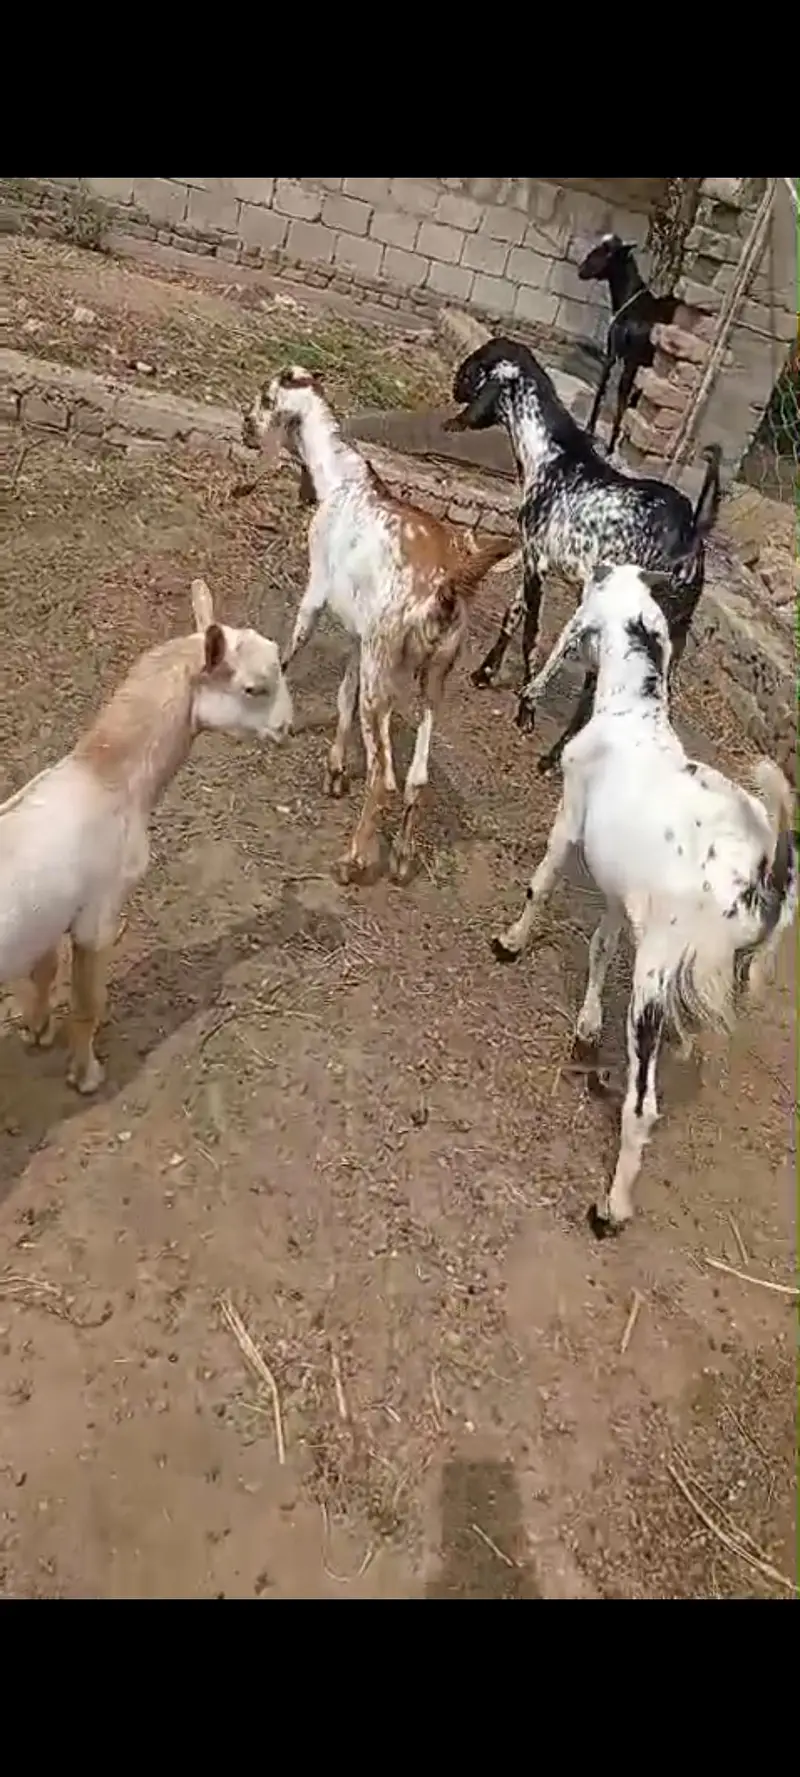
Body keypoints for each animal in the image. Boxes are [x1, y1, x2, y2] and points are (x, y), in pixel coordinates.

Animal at [0, 580, 292, 1094]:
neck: (108, 779)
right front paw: (86, 1075)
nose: (286, 728)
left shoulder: (49, 918)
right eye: (253, 688)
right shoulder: (98, 915)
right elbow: (87, 1003)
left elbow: (43, 973)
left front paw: (38, 1030)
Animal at [243, 366, 517, 886]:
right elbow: (342, 697)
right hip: (430, 677)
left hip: (385, 671)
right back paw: (404, 856)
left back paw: (353, 860)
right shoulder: (360, 641)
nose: (245, 426)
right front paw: (334, 769)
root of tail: (443, 592)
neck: (344, 480)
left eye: (265, 398)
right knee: (416, 777)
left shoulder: (316, 592)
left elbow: (294, 645)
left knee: (385, 777)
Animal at [445, 336, 721, 774]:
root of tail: (690, 535)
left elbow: (531, 633)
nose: (455, 385)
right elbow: (513, 614)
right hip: (668, 635)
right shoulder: (531, 555)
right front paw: (485, 673)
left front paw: (525, 711)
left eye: (475, 366)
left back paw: (552, 755)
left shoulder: (539, 564)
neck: (552, 456)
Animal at [491, 562, 797, 1234]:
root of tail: (763, 880)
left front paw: (510, 942)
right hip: (722, 973)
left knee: (645, 1104)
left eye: (588, 596)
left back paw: (611, 1207)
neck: (632, 715)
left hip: (657, 972)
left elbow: (542, 881)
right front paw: (584, 1027)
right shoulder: (620, 889)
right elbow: (601, 945)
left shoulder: (571, 818)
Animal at [578, 233, 678, 458]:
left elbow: (621, 399)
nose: (581, 270)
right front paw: (589, 429)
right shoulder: (612, 353)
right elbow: (602, 388)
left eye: (608, 252)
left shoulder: (632, 361)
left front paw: (609, 448)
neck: (631, 307)